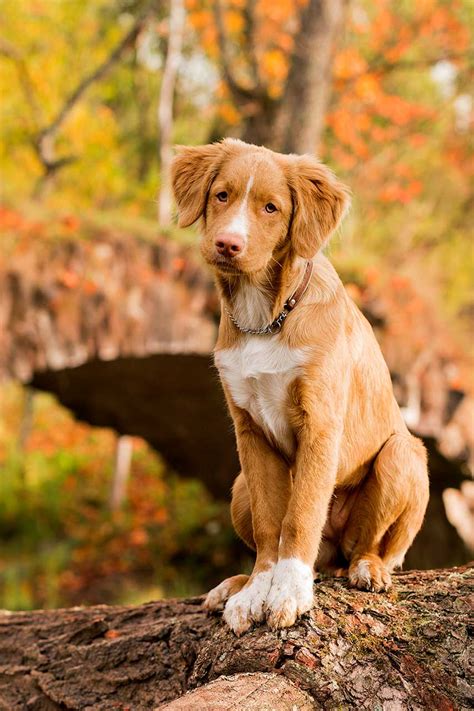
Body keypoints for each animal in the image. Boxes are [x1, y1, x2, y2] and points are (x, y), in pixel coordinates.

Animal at [171, 139, 430, 636]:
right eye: (221, 195)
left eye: (271, 207)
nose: (227, 244)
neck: (265, 318)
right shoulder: (249, 430)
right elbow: (272, 523)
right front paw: (257, 590)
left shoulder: (321, 425)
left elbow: (302, 515)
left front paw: (289, 591)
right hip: (238, 487)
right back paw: (232, 584)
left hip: (402, 457)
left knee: (368, 548)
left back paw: (367, 569)